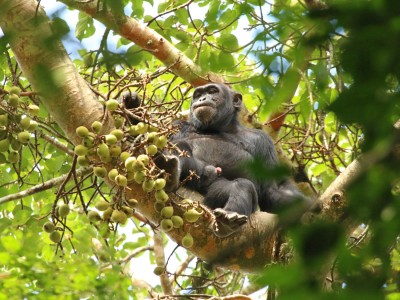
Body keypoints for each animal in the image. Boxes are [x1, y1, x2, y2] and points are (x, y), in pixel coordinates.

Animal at [156, 84, 310, 237]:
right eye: (198, 94)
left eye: (212, 91)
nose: (202, 98)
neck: (222, 128)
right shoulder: (176, 125)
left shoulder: (263, 141)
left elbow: (270, 189)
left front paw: (301, 204)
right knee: (181, 147)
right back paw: (171, 169)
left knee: (242, 186)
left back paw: (228, 219)